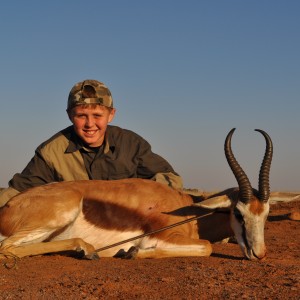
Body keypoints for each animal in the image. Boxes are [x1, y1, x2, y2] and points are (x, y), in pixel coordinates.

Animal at [0, 128, 272, 260]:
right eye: (238, 213)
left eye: (266, 214)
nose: (259, 254)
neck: (187, 210)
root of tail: (8, 207)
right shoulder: (164, 237)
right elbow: (206, 247)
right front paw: (133, 252)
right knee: (6, 248)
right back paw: (86, 249)